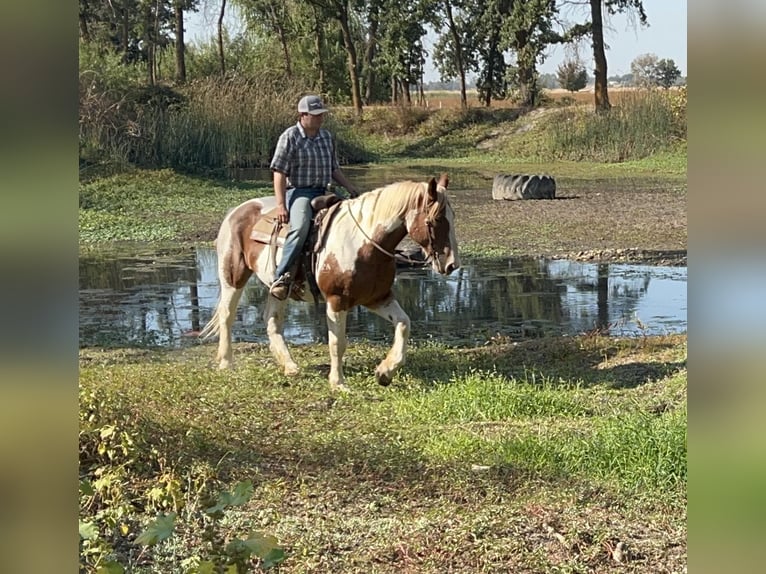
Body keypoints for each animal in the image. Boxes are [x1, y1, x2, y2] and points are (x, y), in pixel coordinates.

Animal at [201, 173, 460, 394]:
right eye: (435, 219)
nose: (451, 265)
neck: (363, 243)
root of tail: (236, 211)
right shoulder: (337, 300)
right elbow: (337, 342)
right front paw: (338, 383)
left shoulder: (378, 297)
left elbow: (404, 324)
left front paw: (385, 372)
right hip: (233, 277)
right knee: (227, 315)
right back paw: (226, 363)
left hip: (278, 290)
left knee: (272, 321)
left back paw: (290, 366)